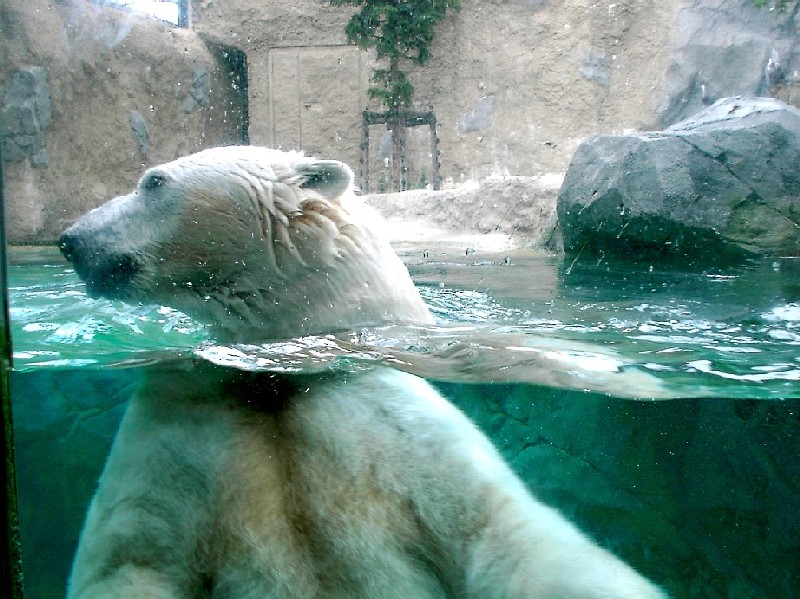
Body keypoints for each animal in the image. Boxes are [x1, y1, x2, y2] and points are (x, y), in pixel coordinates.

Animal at [57, 146, 668, 599]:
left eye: (153, 181)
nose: (70, 239)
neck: (282, 366)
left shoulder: (381, 417)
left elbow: (499, 534)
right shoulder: (184, 417)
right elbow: (134, 557)